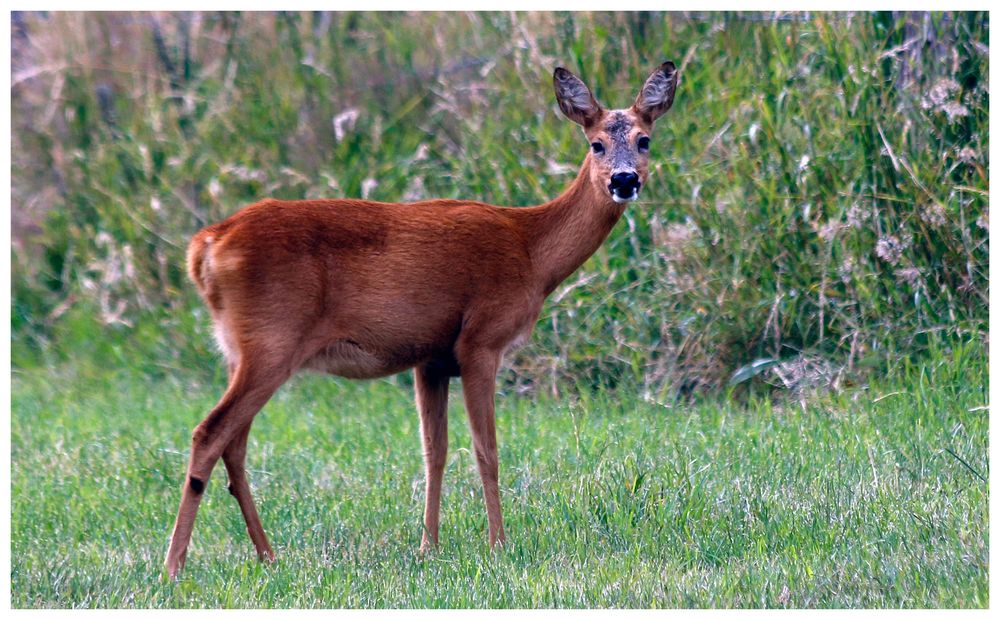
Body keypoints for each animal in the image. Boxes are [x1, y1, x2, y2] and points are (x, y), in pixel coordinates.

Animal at [164, 60, 680, 580]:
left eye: (644, 139)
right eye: (595, 143)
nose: (624, 181)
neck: (532, 252)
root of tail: (205, 246)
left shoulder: (430, 357)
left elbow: (435, 451)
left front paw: (428, 546)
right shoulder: (481, 341)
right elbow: (486, 451)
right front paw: (498, 545)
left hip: (241, 349)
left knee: (234, 445)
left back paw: (267, 554)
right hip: (272, 341)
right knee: (209, 433)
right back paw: (174, 565)